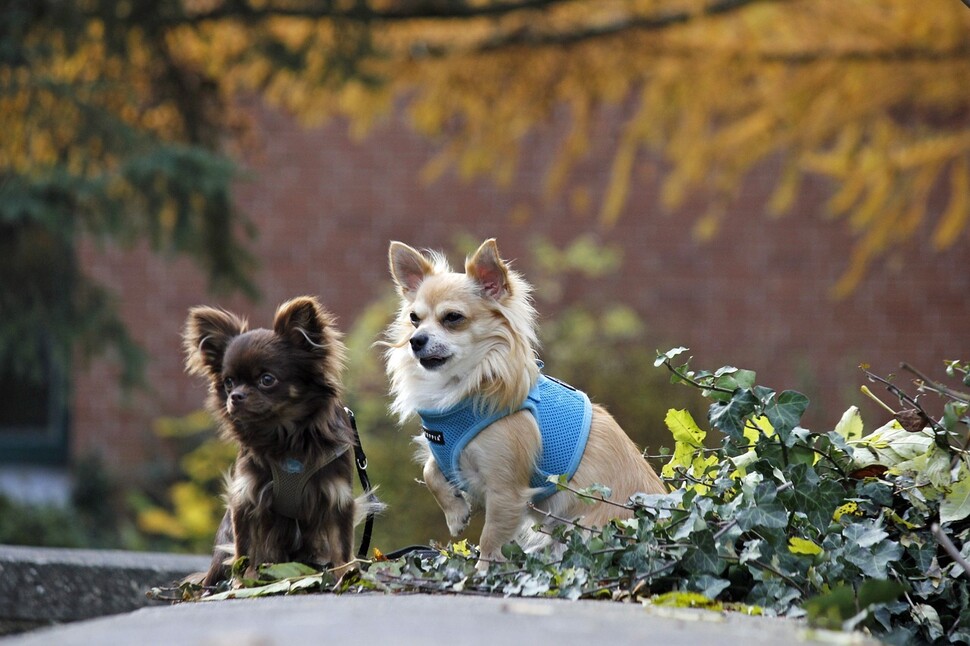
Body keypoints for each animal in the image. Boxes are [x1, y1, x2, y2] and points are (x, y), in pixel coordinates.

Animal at [382, 238, 660, 568]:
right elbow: (430, 470)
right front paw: (455, 513)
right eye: (414, 319)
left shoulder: (506, 490)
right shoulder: (447, 452)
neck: (464, 383)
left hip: (587, 531)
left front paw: (482, 570)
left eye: (452, 318)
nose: (416, 340)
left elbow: (490, 537)